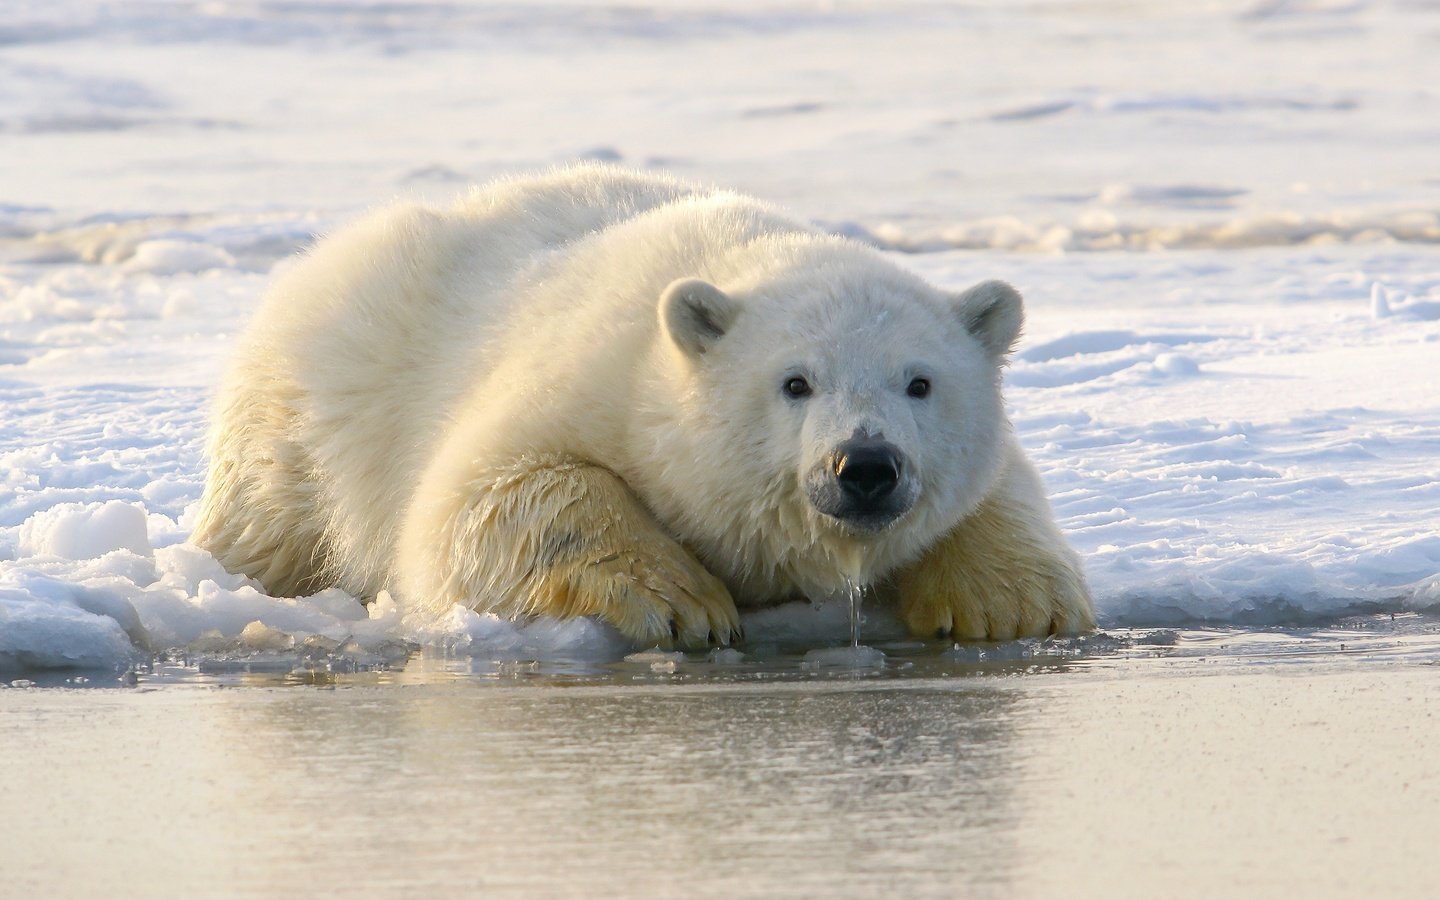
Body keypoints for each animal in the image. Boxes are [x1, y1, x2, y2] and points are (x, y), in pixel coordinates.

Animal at [191, 167, 1088, 645]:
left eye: (919, 383)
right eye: (795, 382)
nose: (864, 466)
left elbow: (1000, 488)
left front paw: (1009, 605)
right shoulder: (585, 380)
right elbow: (484, 498)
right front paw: (682, 603)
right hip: (316, 402)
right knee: (271, 516)